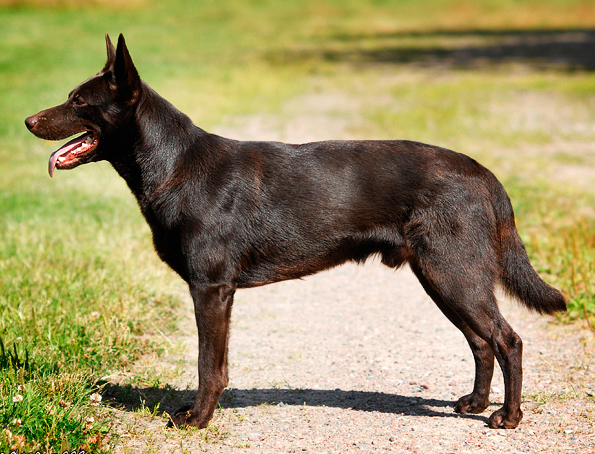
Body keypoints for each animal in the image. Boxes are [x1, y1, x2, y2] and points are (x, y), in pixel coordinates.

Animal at [25, 34, 564, 430]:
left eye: (78, 101)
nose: (28, 120)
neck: (173, 165)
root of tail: (484, 174)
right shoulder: (218, 291)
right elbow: (216, 363)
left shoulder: (211, 288)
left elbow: (207, 364)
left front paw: (196, 419)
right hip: (443, 277)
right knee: (480, 341)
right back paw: (475, 404)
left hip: (454, 273)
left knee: (507, 340)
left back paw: (508, 418)